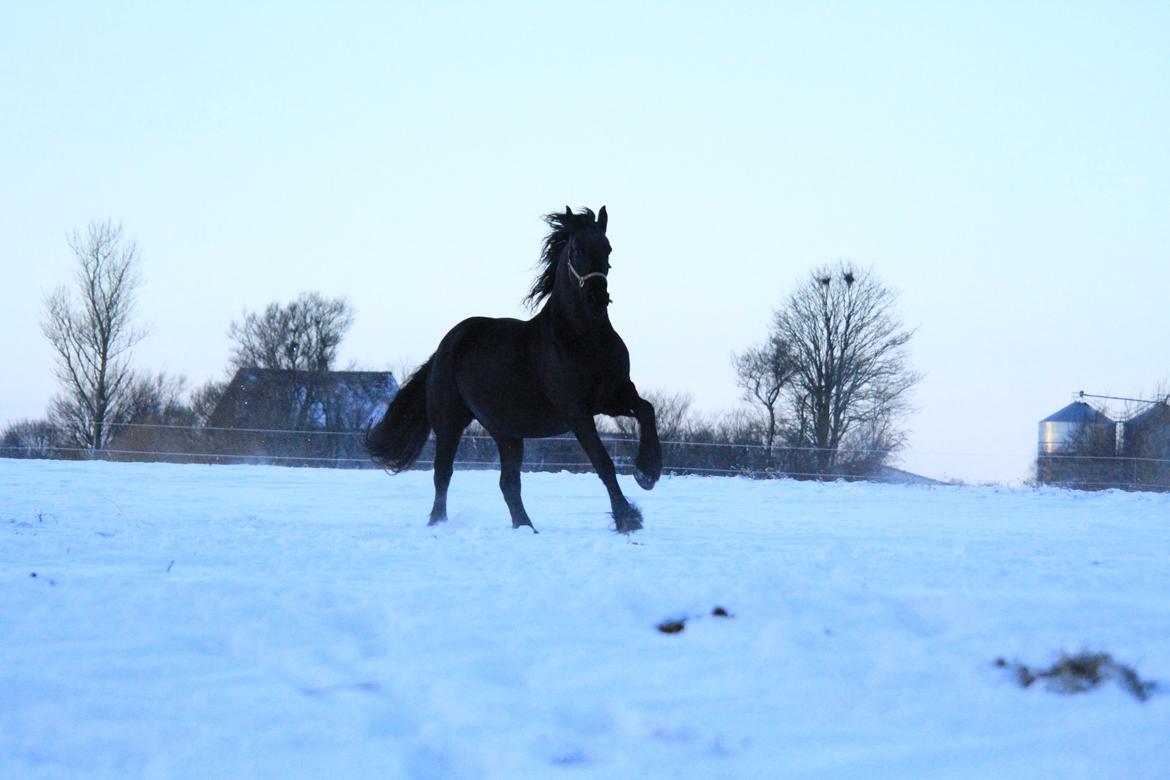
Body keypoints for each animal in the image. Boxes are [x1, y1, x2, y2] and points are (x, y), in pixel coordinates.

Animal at [367, 204, 659, 533]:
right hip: (450, 422)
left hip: (506, 433)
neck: (583, 338)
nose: (596, 299)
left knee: (508, 483)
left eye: (608, 248)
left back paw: (526, 527)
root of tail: (444, 348)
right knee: (443, 473)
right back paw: (438, 522)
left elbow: (647, 409)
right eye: (575, 249)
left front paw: (648, 472)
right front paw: (628, 517)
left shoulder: (613, 396)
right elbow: (603, 462)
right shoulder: (577, 411)